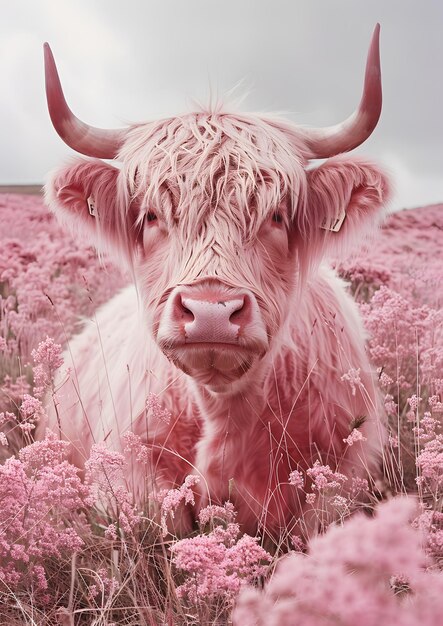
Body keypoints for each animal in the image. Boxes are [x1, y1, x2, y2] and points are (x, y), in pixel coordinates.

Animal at [40, 26, 388, 540]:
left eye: (277, 216)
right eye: (150, 216)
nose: (210, 314)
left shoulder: (351, 462)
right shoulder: (122, 464)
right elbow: (158, 516)